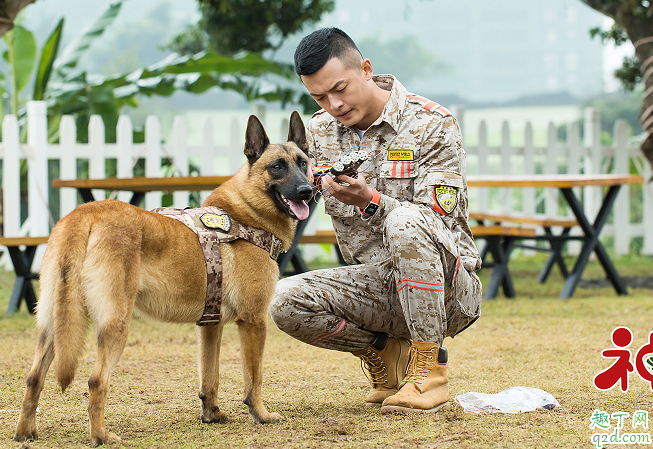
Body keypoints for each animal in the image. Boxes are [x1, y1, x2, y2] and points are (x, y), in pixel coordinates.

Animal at [13, 111, 314, 444]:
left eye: (303, 163)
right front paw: (261, 415)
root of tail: (85, 214)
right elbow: (255, 377)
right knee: (96, 381)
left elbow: (210, 376)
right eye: (277, 167)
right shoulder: (254, 321)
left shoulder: (210, 327)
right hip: (115, 324)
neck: (246, 214)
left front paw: (211, 414)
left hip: (52, 324)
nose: (307, 191)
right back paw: (102, 436)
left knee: (33, 378)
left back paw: (26, 433)